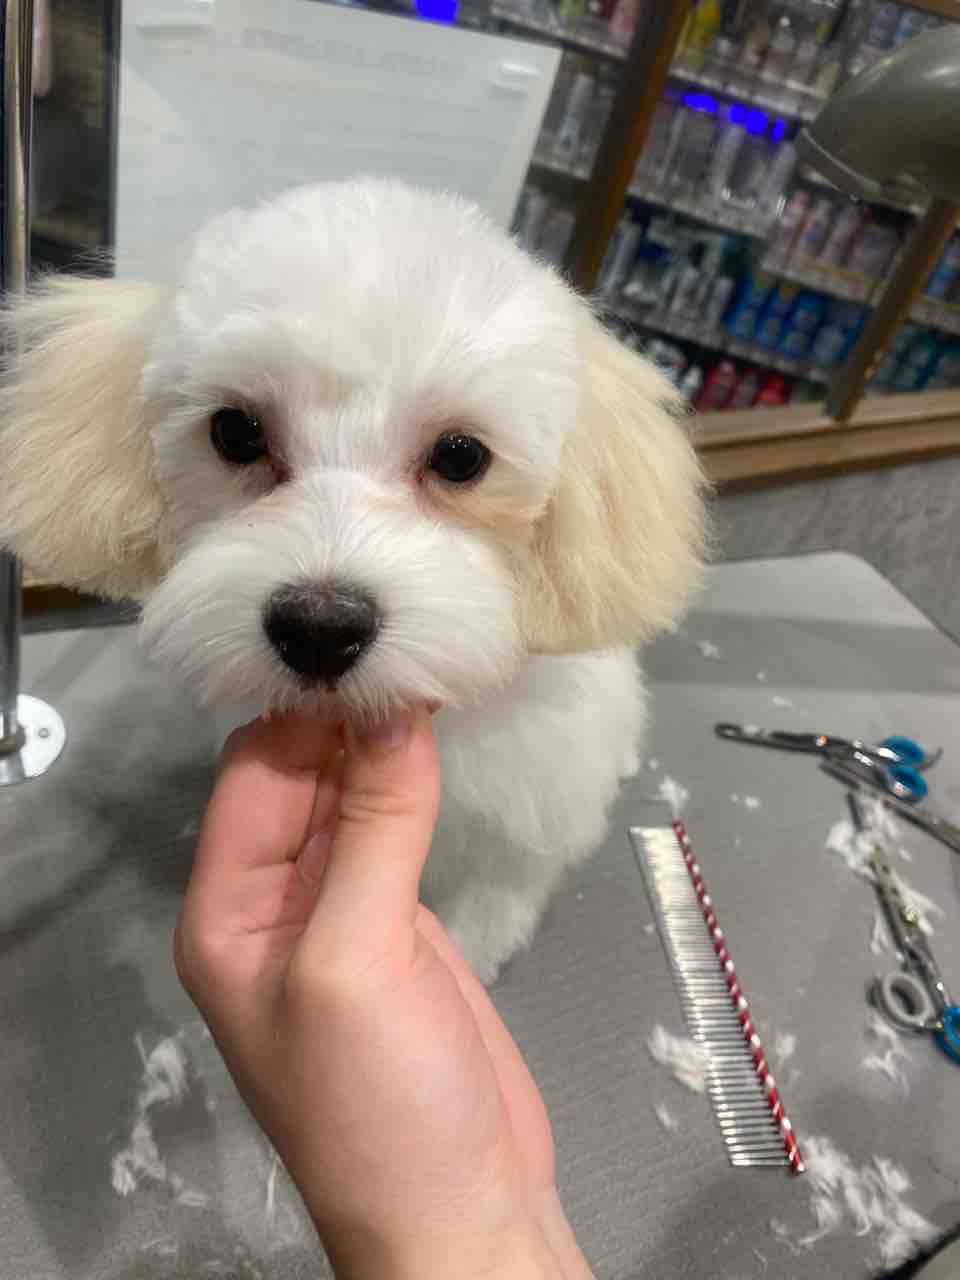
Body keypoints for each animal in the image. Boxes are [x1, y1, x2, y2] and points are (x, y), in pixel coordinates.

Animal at [0, 178, 705, 982]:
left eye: (462, 456)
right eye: (234, 431)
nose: (319, 628)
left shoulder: (523, 828)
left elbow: (494, 904)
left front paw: (469, 957)